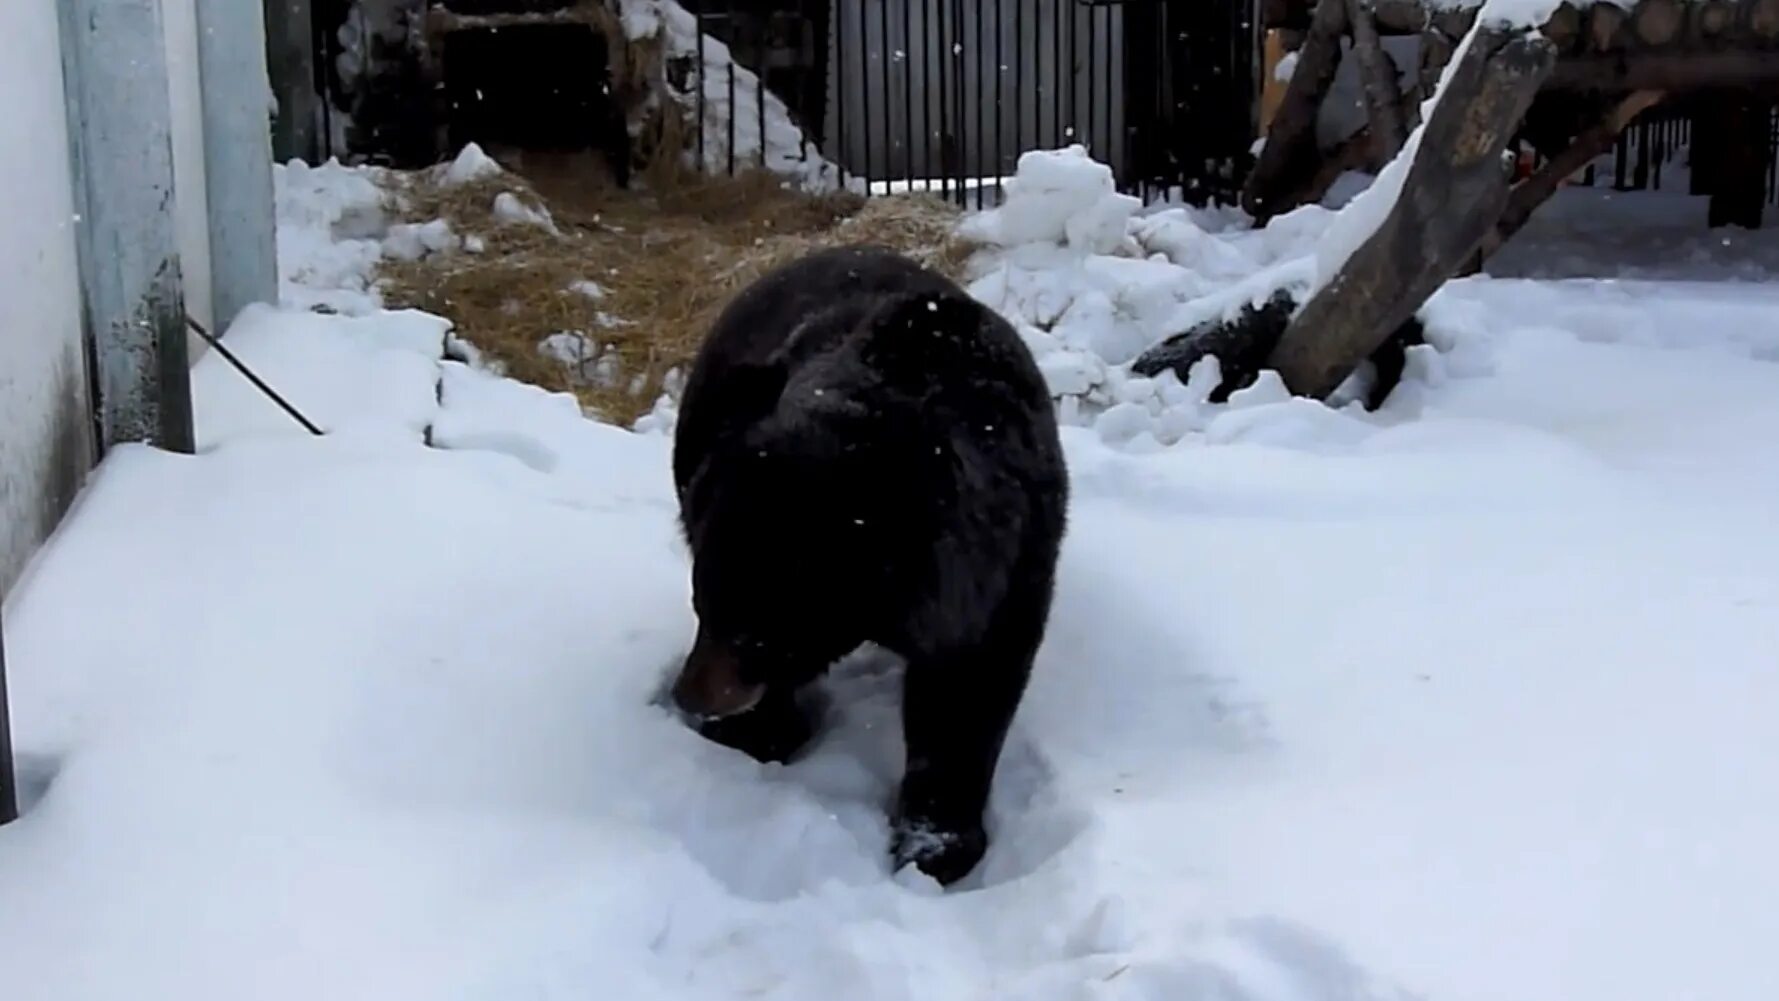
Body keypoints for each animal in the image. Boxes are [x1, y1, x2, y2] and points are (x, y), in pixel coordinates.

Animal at [665, 247, 1053, 888]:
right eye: (702, 604)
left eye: (755, 632)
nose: (689, 694)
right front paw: (757, 732)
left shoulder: (1009, 568)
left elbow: (967, 696)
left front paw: (936, 846)